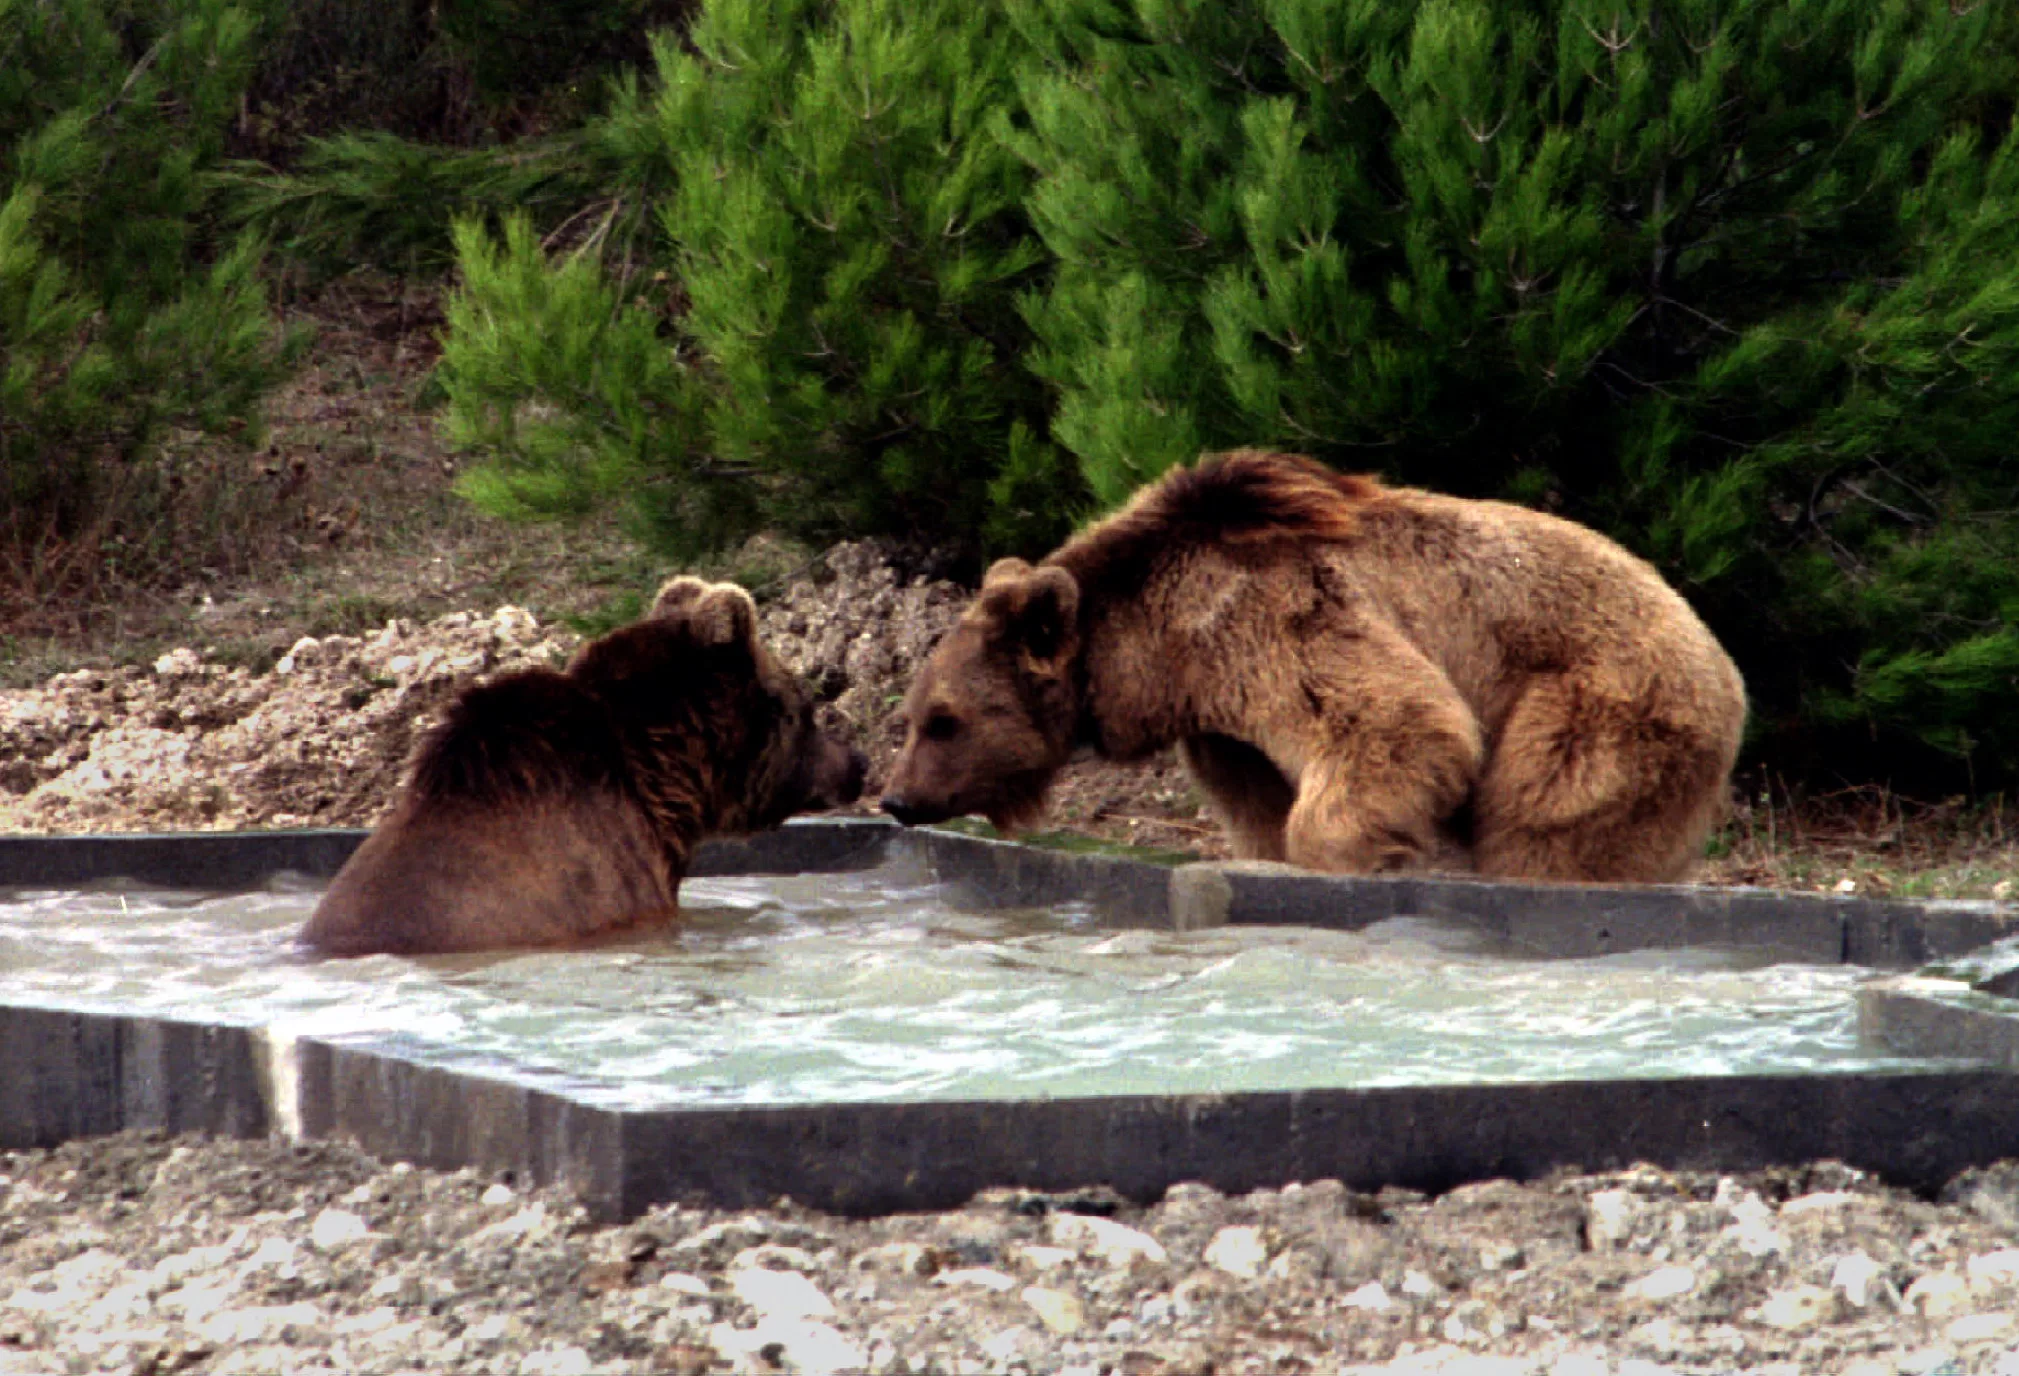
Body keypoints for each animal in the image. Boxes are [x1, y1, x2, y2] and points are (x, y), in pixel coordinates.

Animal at [884, 443, 1752, 883]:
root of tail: (1720, 656)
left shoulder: (1266, 617)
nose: (894, 798)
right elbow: (1262, 806)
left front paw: (1365, 857)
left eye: (944, 720)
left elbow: (1394, 719)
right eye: (914, 714)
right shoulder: (1222, 724)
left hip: (1596, 703)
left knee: (1544, 823)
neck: (1151, 650)